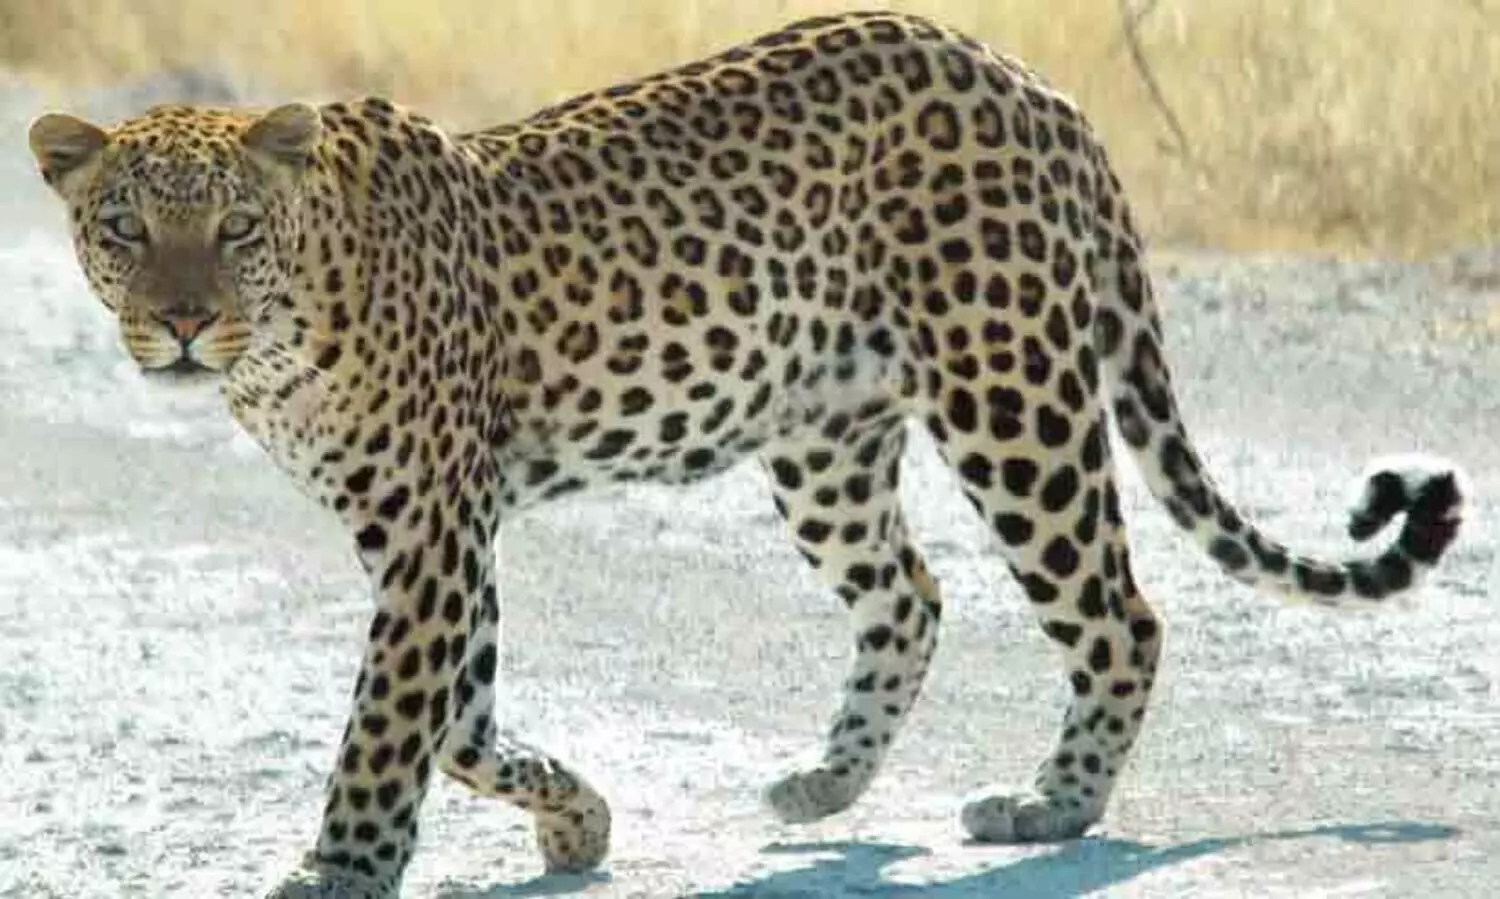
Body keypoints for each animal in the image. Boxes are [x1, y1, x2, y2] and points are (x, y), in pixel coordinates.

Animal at [26, 10, 1467, 898]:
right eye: (122, 227)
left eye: (232, 229)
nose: (182, 323)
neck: (285, 333)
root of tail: (1029, 80)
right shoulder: (438, 534)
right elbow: (463, 720)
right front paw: (578, 818)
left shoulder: (431, 529)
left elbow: (390, 726)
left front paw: (342, 865)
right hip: (823, 437)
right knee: (912, 593)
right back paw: (827, 780)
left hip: (1012, 392)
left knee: (1121, 608)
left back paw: (1051, 806)